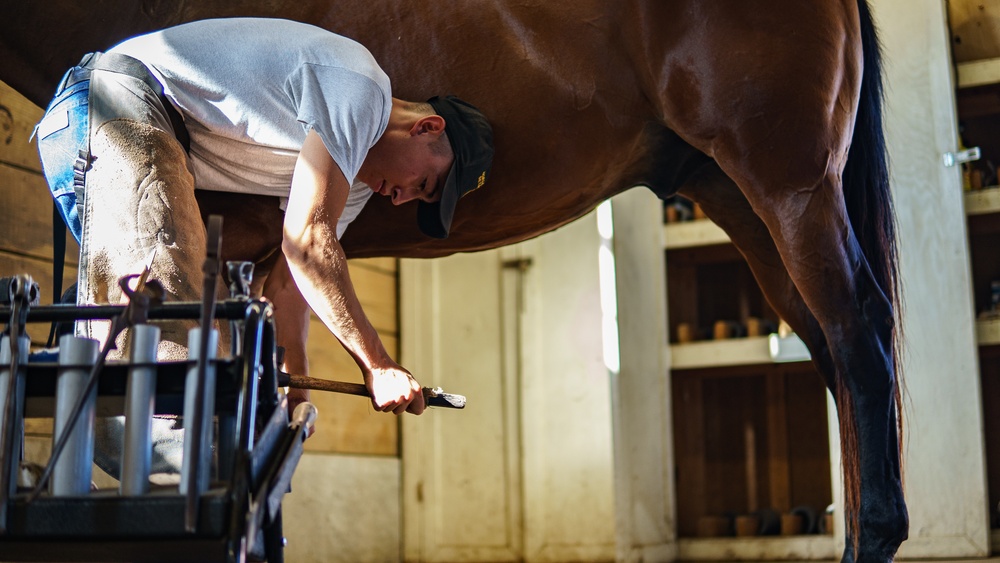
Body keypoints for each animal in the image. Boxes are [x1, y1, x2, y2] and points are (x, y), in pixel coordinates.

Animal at [0, 2, 908, 560]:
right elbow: (268, 395)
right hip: (737, 193)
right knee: (831, 349)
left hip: (787, 184)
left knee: (859, 333)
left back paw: (874, 535)